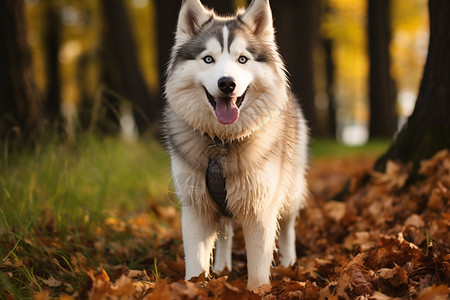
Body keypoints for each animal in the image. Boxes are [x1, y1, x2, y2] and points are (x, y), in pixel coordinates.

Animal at [164, 0, 310, 290]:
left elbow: (259, 263)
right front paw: (193, 287)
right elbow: (196, 260)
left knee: (288, 225)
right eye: (208, 59)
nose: (227, 83)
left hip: (290, 187)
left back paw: (289, 262)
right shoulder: (195, 206)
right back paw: (222, 266)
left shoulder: (261, 207)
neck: (221, 142)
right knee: (225, 233)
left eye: (242, 59)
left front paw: (257, 290)